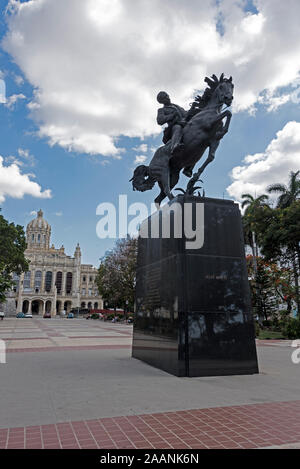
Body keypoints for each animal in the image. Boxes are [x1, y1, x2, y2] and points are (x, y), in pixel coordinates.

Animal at [130, 73, 233, 205]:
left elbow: (211, 157)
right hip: (163, 172)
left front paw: (193, 180)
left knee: (158, 198)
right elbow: (228, 113)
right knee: (167, 191)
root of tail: (149, 166)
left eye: (232, 86)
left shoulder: (213, 141)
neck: (210, 110)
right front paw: (224, 129)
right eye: (221, 86)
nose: (229, 98)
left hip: (173, 176)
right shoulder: (207, 124)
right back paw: (175, 200)